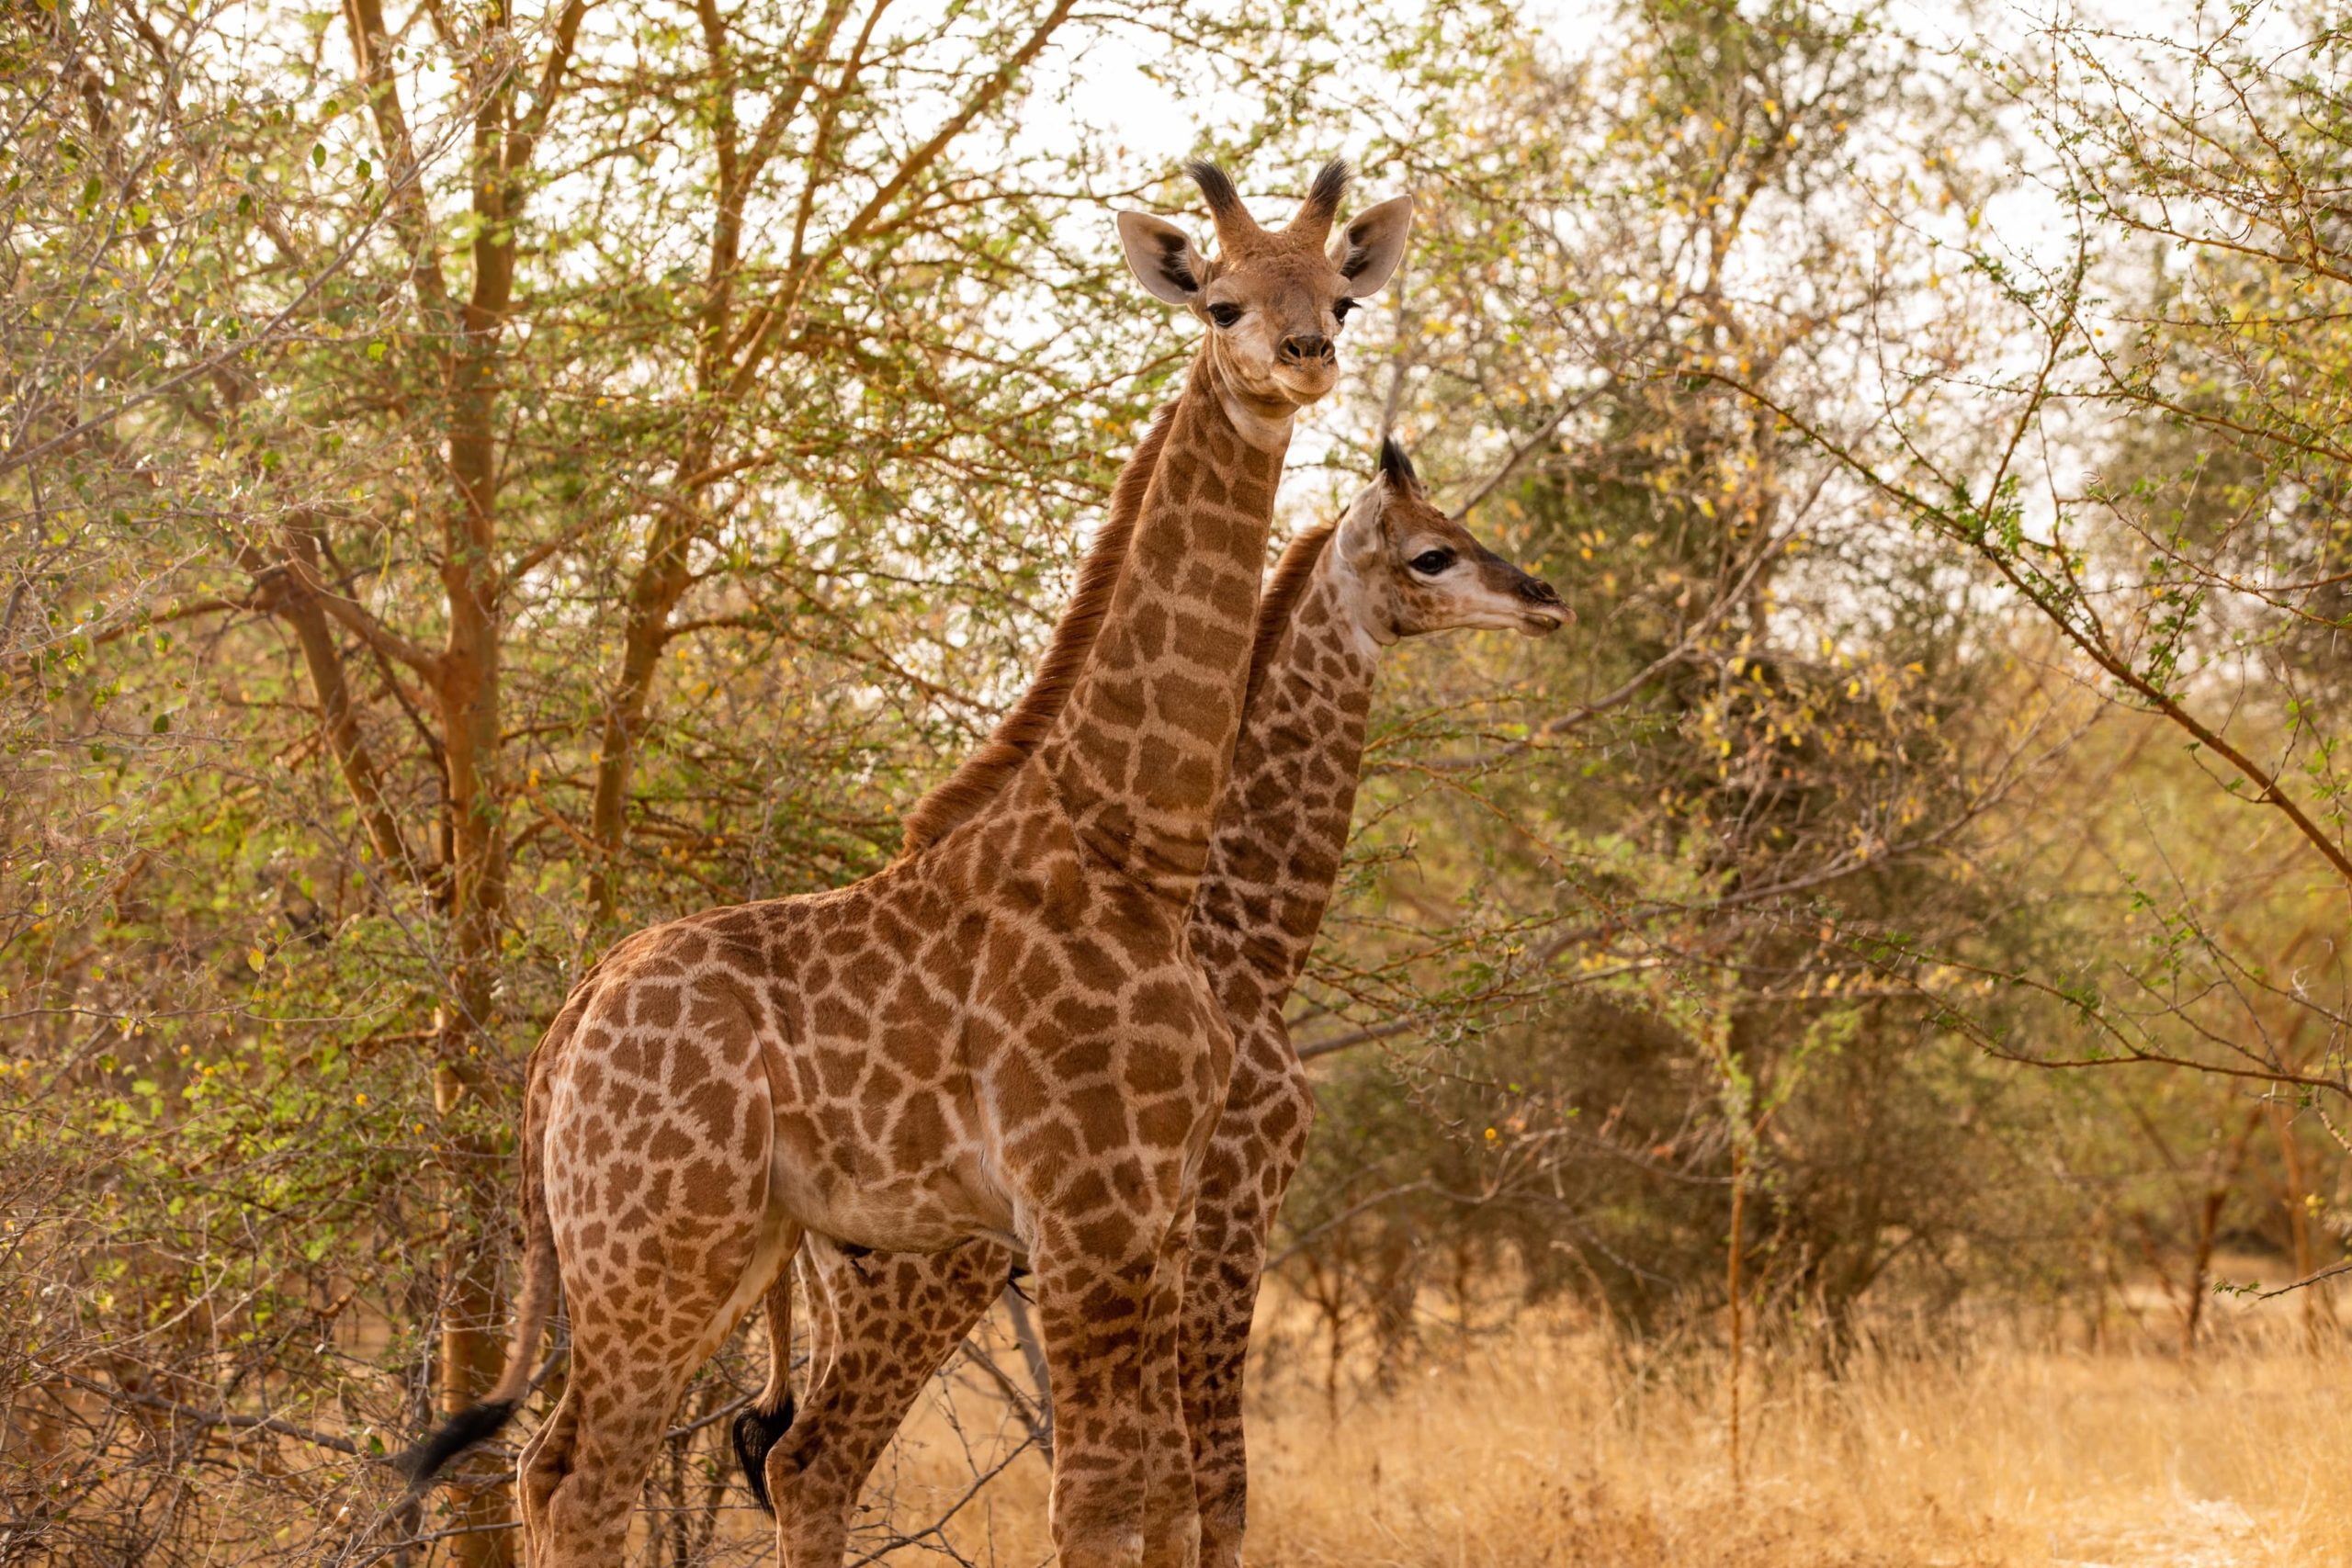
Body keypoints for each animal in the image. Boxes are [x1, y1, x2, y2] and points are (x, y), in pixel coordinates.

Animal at [400, 160, 1411, 1568]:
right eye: (1220, 302)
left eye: (1339, 296)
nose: (1305, 358)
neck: (1138, 849)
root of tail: (564, 1033)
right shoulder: (1089, 1217)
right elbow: (1100, 1495)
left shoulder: (1155, 1217)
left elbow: (1150, 1487)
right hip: (662, 1241)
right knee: (593, 1477)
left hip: (715, 1246)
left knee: (573, 1465)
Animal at [742, 434, 1571, 1568]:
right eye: (1432, 554)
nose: (1545, 598)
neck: (1247, 941)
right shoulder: (1231, 1208)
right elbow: (1218, 1483)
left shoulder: (1176, 1234)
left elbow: (1175, 1488)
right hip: (917, 1285)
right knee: (809, 1463)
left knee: (797, 1462)